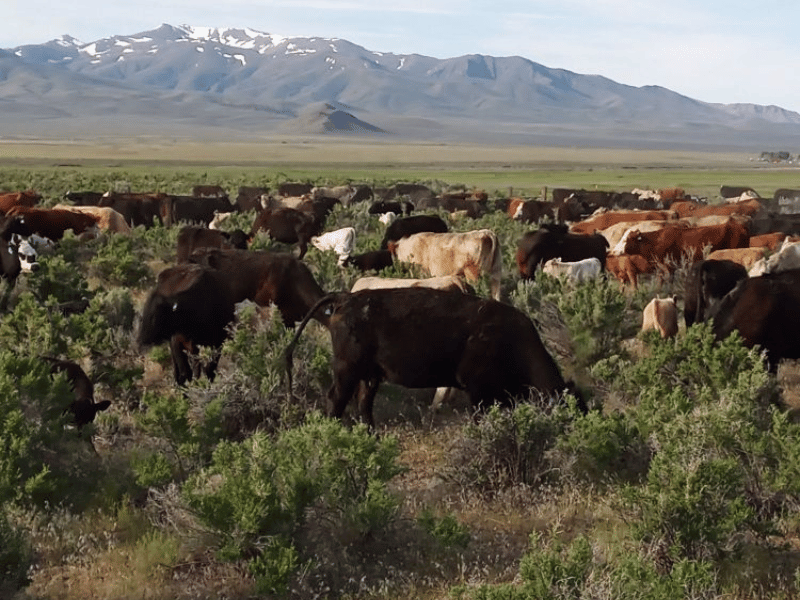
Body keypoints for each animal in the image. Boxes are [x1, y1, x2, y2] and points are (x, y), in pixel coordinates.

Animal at [285, 287, 585, 429]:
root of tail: (346, 298)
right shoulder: (477, 391)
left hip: (370, 376)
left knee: (363, 405)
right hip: (347, 370)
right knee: (336, 400)